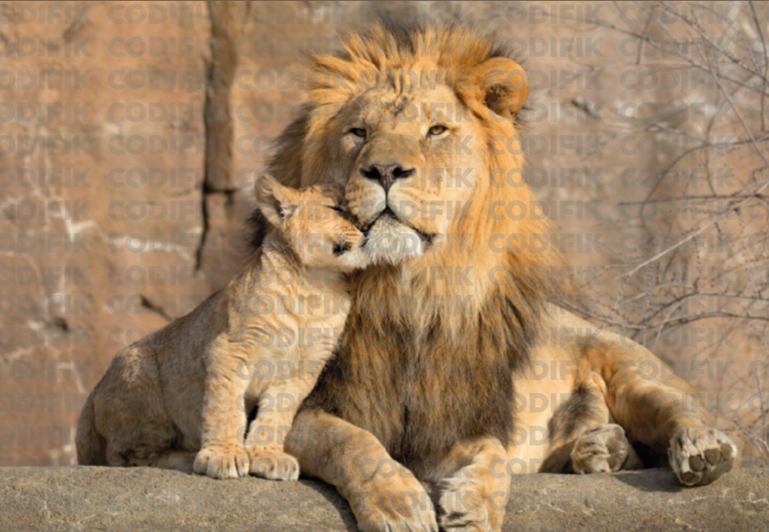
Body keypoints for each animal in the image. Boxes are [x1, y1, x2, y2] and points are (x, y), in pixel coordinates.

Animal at [76, 175, 370, 480]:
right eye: (336, 209)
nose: (367, 228)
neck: (316, 284)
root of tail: (92, 393)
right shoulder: (230, 348)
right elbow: (225, 407)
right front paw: (224, 455)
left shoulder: (303, 368)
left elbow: (277, 414)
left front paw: (268, 456)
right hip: (140, 377)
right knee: (128, 458)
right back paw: (187, 457)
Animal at [247, 20, 739, 531]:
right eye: (358, 132)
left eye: (436, 130)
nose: (384, 169)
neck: (408, 292)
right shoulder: (302, 406)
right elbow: (351, 441)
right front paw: (398, 505)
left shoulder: (455, 421)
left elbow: (493, 452)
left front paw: (475, 505)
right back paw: (600, 448)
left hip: (628, 365)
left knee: (680, 408)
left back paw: (701, 449)